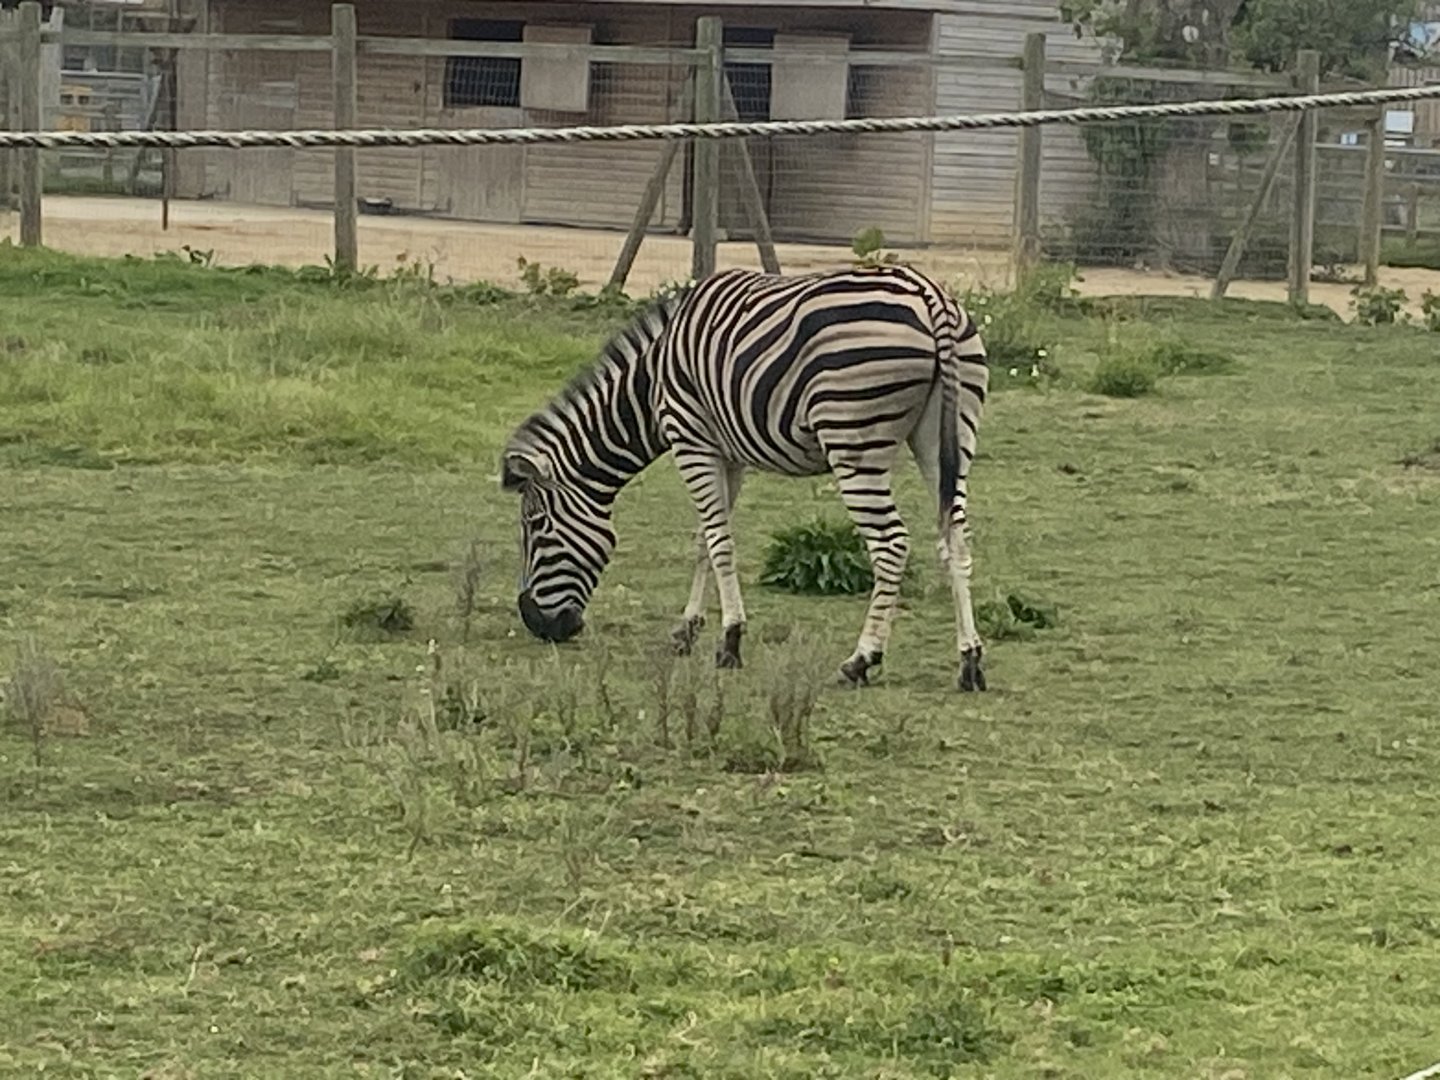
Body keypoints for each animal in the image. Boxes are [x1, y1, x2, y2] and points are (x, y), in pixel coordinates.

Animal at [500, 264, 991, 691]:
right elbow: (704, 538)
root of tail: (928, 294)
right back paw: (969, 661)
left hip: (853, 440)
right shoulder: (726, 454)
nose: (536, 624)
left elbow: (719, 542)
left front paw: (730, 640)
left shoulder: (691, 440)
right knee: (956, 537)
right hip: (947, 437)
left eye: (536, 526)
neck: (651, 380)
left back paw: (861, 659)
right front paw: (687, 629)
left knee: (891, 545)